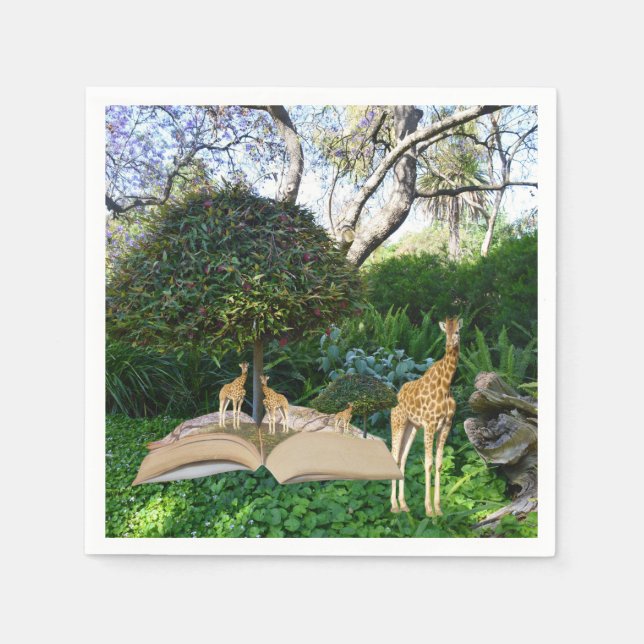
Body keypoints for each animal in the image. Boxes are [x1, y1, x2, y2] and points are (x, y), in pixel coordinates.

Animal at [390, 317, 462, 517]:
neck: (446, 385)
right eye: (445, 332)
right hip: (398, 423)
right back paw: (393, 506)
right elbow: (428, 463)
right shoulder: (430, 424)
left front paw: (439, 509)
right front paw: (429, 510)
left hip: (412, 427)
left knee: (402, 459)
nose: (449, 344)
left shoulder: (446, 425)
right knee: (394, 457)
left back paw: (403, 505)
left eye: (457, 331)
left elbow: (439, 464)